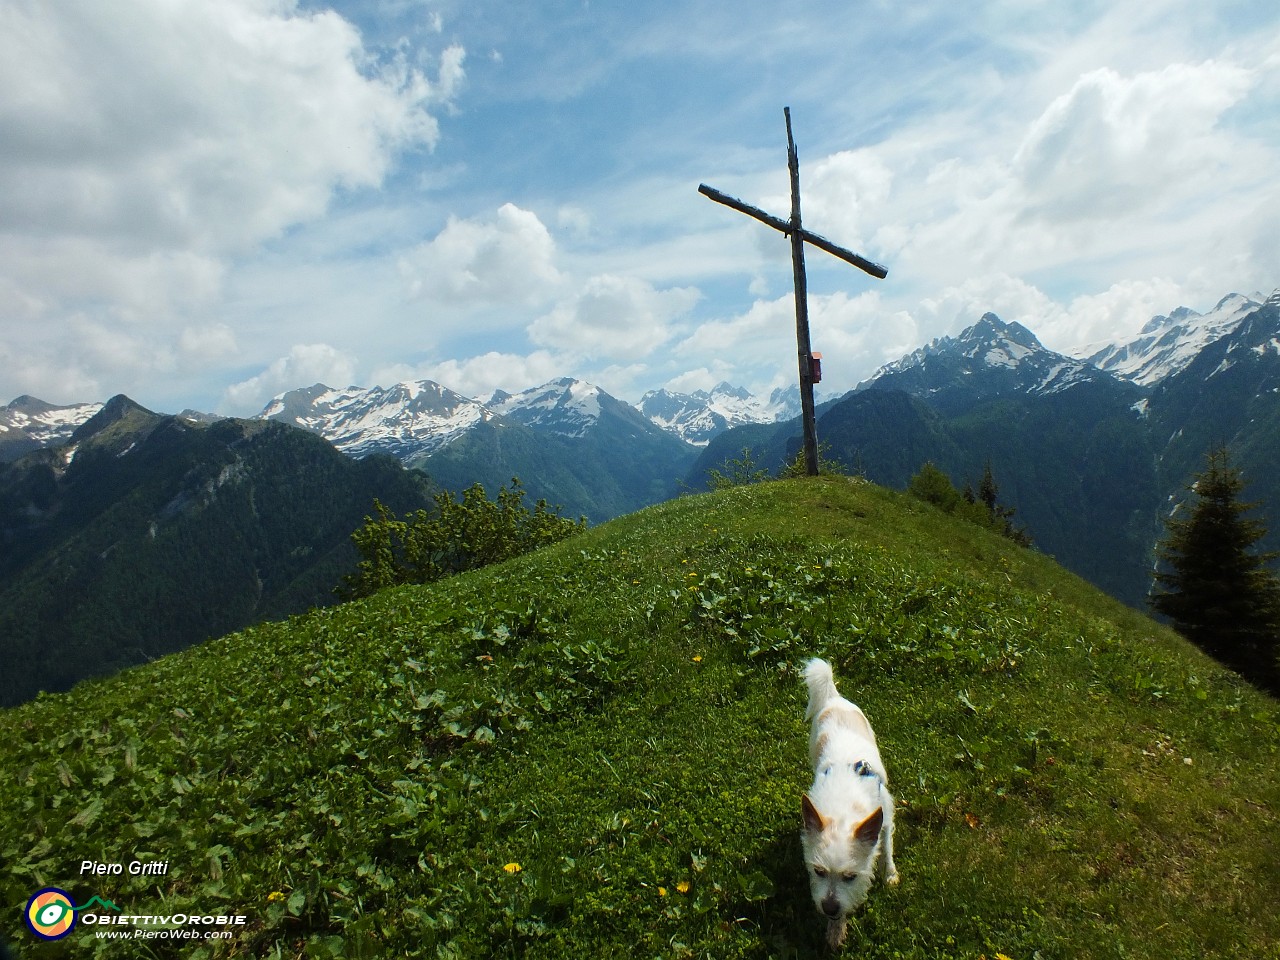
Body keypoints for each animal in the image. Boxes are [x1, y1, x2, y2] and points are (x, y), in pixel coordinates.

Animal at [798, 660, 901, 952]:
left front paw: (889, 873)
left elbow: (887, 845)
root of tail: (833, 699)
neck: (843, 811)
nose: (829, 908)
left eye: (851, 877)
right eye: (818, 872)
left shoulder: (885, 816)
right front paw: (836, 929)